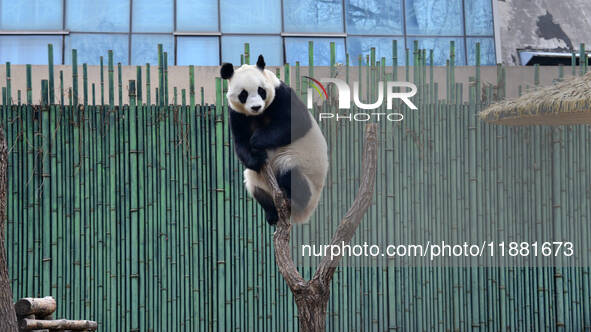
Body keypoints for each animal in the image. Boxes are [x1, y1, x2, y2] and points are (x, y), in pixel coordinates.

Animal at [221, 55, 330, 226]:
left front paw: (257, 139)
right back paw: (271, 214)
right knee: (253, 185)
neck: (258, 115)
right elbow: (240, 142)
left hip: (303, 168)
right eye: (243, 94)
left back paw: (293, 197)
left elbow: (297, 123)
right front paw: (257, 157)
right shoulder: (236, 113)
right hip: (258, 182)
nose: (256, 107)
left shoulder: (281, 96)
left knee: (289, 170)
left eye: (261, 90)